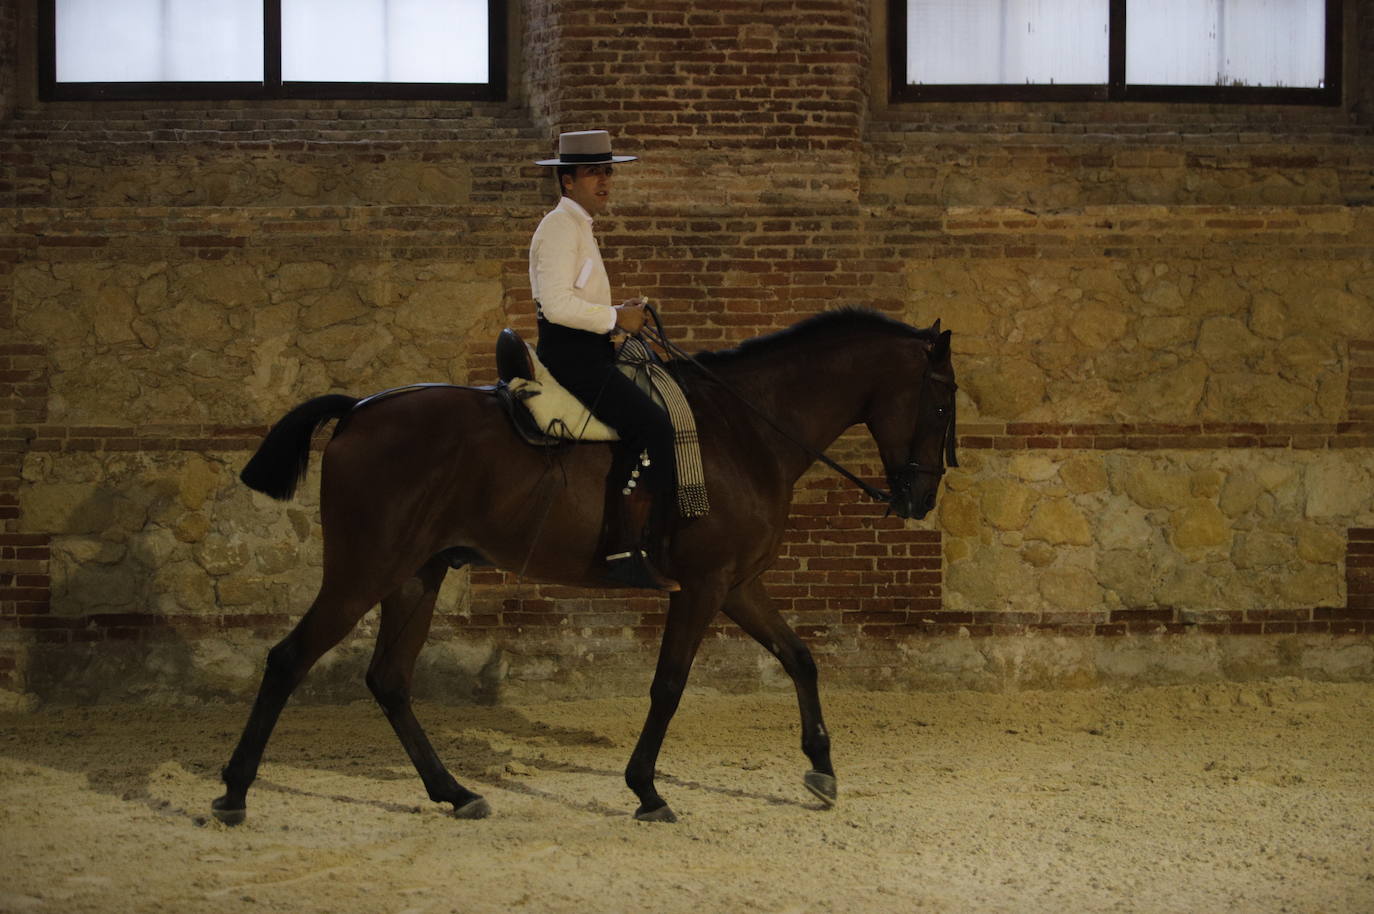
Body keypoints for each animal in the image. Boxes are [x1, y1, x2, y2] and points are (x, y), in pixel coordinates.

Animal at [208, 310, 956, 824]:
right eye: (943, 400)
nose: (920, 500)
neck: (746, 431)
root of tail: (361, 409)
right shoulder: (704, 585)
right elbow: (669, 686)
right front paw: (647, 790)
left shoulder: (739, 584)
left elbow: (800, 657)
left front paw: (822, 768)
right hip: (364, 570)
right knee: (288, 659)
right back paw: (235, 791)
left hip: (417, 575)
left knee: (389, 680)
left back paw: (454, 792)